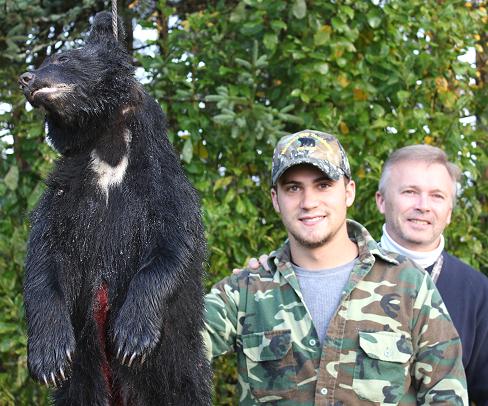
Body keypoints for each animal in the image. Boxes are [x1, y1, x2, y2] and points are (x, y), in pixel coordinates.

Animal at [18, 12, 212, 406]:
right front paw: (49, 357)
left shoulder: (161, 185)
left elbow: (171, 247)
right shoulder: (67, 193)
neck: (109, 148)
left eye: (63, 57)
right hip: (86, 374)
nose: (25, 79)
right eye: (46, 60)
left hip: (180, 364)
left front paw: (132, 337)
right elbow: (44, 259)